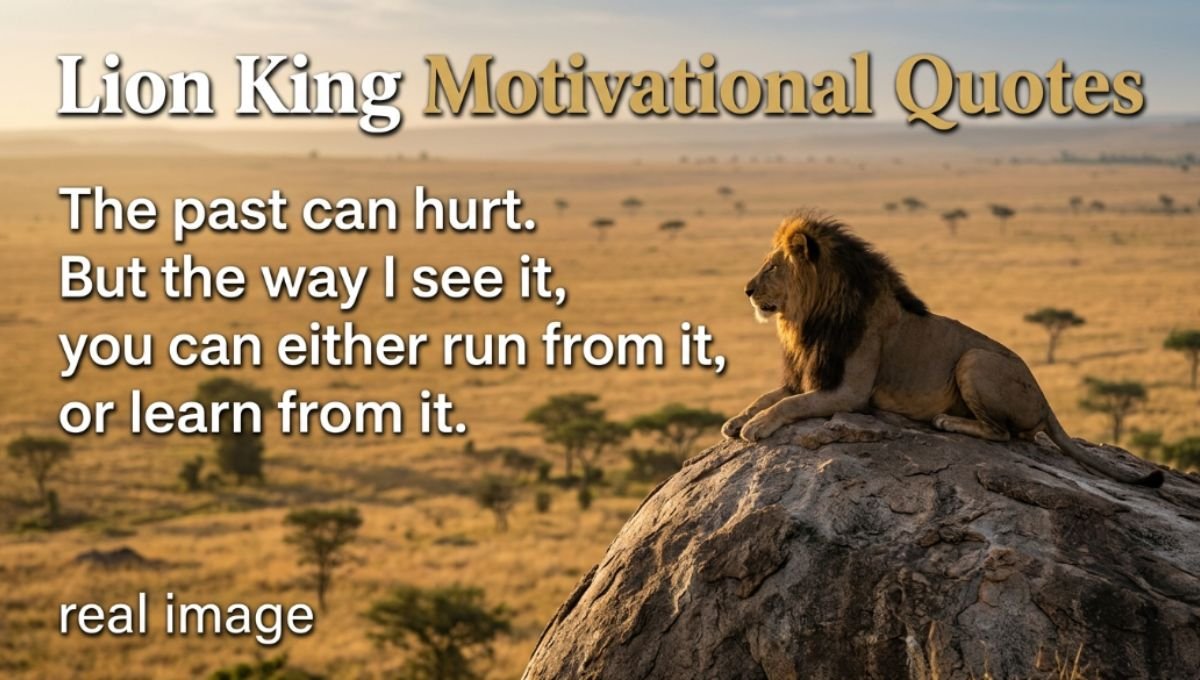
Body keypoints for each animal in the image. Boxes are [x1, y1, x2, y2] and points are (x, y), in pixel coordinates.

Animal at [722, 211, 1164, 487]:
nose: (745, 290)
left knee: (1004, 433)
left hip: (975, 360)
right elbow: (768, 395)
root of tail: (1044, 399)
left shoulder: (849, 392)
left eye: (772, 267)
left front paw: (756, 426)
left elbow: (789, 404)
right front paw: (737, 419)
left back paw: (948, 422)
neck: (809, 318)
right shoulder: (806, 375)